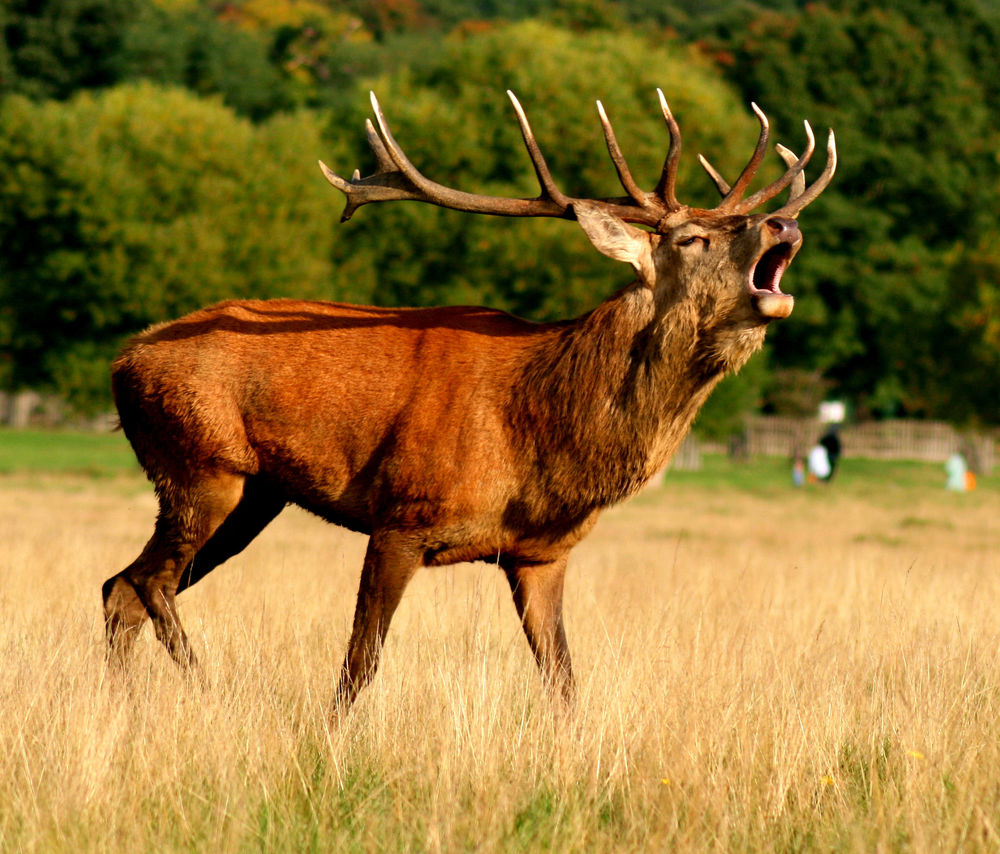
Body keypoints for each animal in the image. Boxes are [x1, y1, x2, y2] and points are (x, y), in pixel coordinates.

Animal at [103, 88, 835, 710]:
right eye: (690, 238)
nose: (782, 223)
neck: (540, 436)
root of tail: (123, 360)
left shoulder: (542, 553)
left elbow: (563, 681)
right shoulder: (402, 513)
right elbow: (359, 665)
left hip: (255, 495)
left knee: (120, 588)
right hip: (199, 464)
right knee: (148, 582)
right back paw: (206, 688)